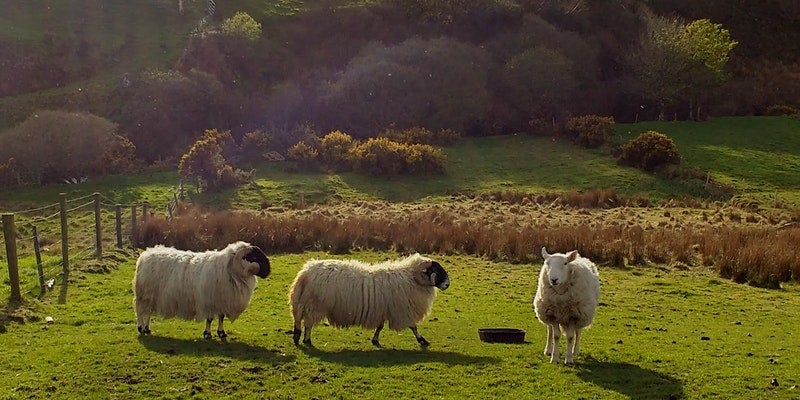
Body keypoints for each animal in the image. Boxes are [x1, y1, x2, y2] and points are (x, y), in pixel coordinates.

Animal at [130, 242, 270, 340]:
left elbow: (221, 317)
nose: (268, 271)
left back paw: (147, 328)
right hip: (143, 295)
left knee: (148, 312)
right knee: (141, 311)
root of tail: (146, 254)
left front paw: (221, 332)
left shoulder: (221, 301)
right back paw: (141, 327)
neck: (230, 271)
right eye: (253, 256)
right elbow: (209, 319)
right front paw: (207, 334)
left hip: (151, 297)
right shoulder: (209, 301)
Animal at [288, 253, 450, 346]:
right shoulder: (403, 310)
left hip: (305, 303)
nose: (448, 284)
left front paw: (375, 340)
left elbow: (379, 327)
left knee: (299, 321)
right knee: (308, 324)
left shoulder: (384, 310)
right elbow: (413, 326)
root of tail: (305, 272)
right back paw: (307, 340)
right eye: (436, 270)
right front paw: (422, 340)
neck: (411, 278)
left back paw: (297, 336)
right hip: (314, 305)